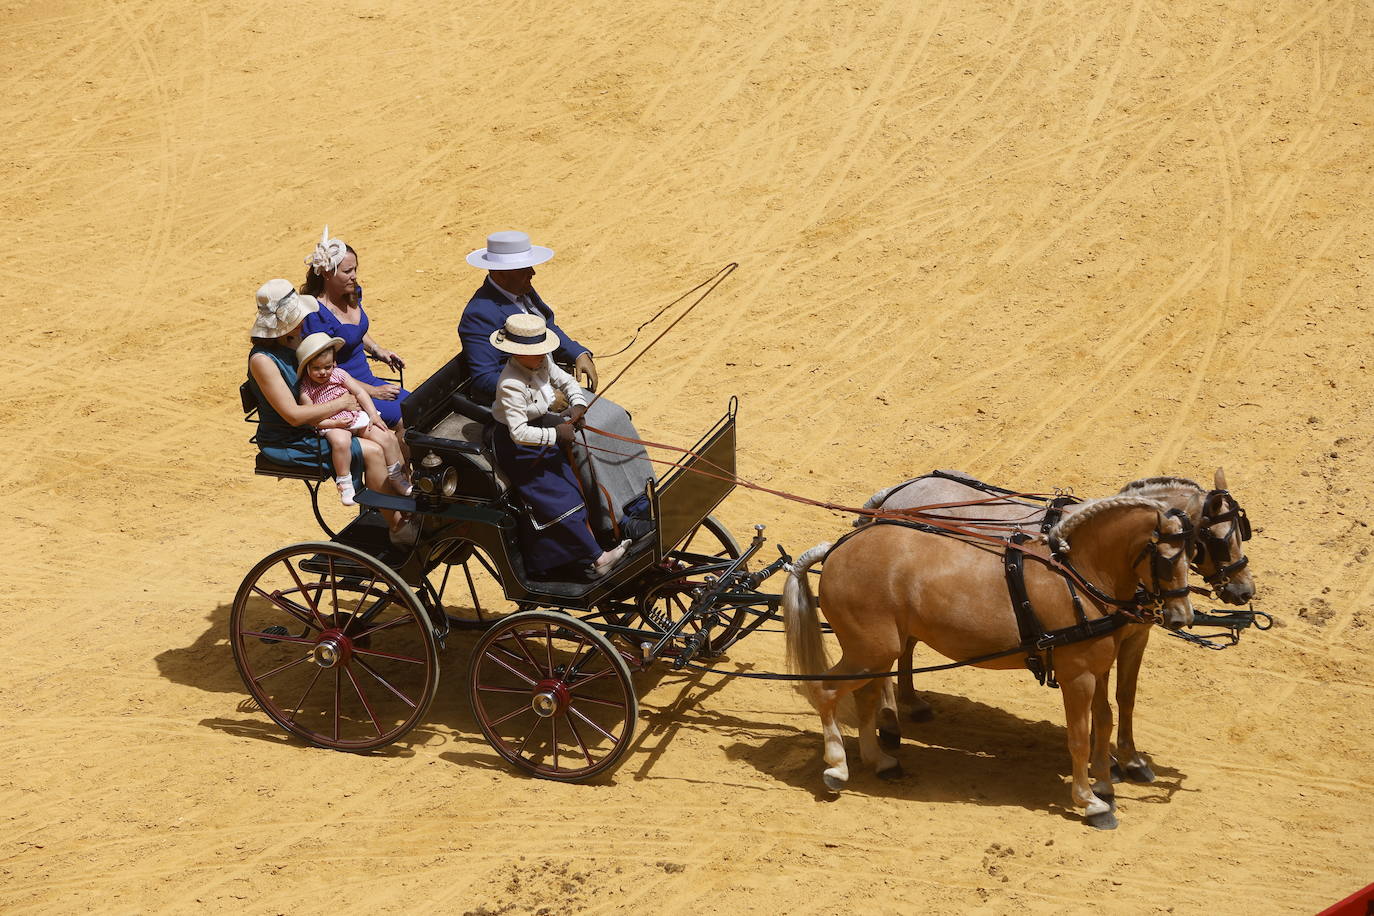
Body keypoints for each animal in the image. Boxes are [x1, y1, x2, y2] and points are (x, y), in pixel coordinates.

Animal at [785, 497, 1192, 829]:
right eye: (1168, 559)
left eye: (1192, 554)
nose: (1182, 616)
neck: (1076, 577)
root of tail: (836, 549)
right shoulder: (1077, 675)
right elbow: (1078, 737)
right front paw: (1091, 802)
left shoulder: (1099, 668)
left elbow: (1104, 722)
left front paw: (1106, 783)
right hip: (869, 652)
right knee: (825, 691)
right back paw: (837, 767)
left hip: (876, 654)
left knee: (865, 699)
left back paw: (879, 760)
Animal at [857, 472, 1258, 780]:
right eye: (1215, 539)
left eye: (1243, 532)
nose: (1244, 590)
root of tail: (896, 492)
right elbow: (1101, 702)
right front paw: (1108, 761)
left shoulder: (1133, 636)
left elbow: (1125, 698)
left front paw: (1130, 759)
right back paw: (890, 720)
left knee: (907, 645)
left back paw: (910, 702)